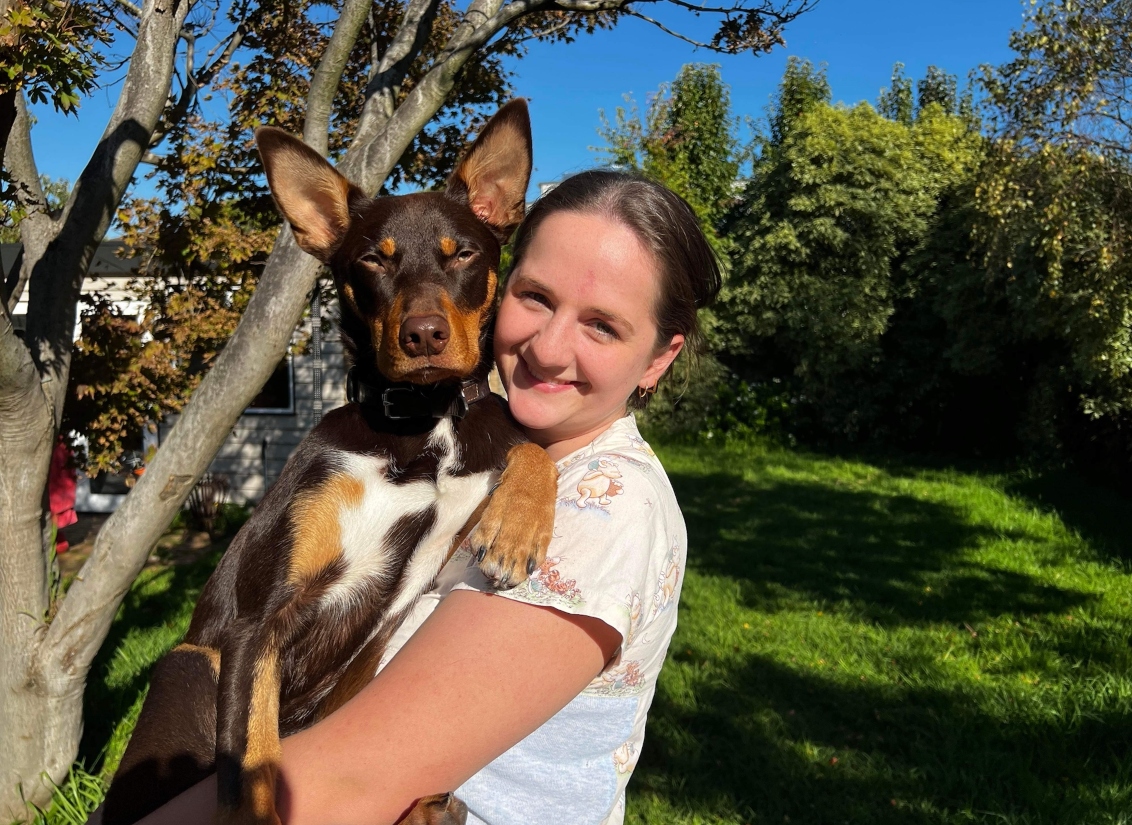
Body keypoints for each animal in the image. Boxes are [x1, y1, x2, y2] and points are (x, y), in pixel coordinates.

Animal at [104, 97, 554, 823]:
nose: (423, 335)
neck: (418, 427)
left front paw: (517, 525)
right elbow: (253, 775)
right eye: (373, 260)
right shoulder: (256, 624)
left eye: (463, 255)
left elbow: (533, 445)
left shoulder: (398, 604)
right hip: (193, 662)